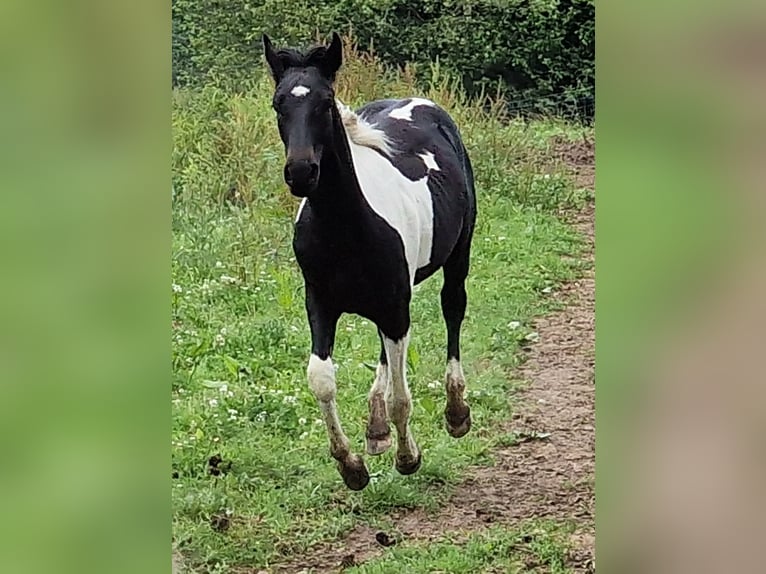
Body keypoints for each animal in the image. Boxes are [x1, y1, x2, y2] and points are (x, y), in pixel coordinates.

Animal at [268, 32, 476, 490]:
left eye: (326, 101)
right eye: (278, 103)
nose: (301, 173)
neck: (345, 230)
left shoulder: (395, 307)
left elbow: (403, 396)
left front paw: (408, 457)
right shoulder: (321, 304)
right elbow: (321, 380)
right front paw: (351, 465)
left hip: (457, 256)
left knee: (453, 308)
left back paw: (455, 413)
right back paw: (377, 428)